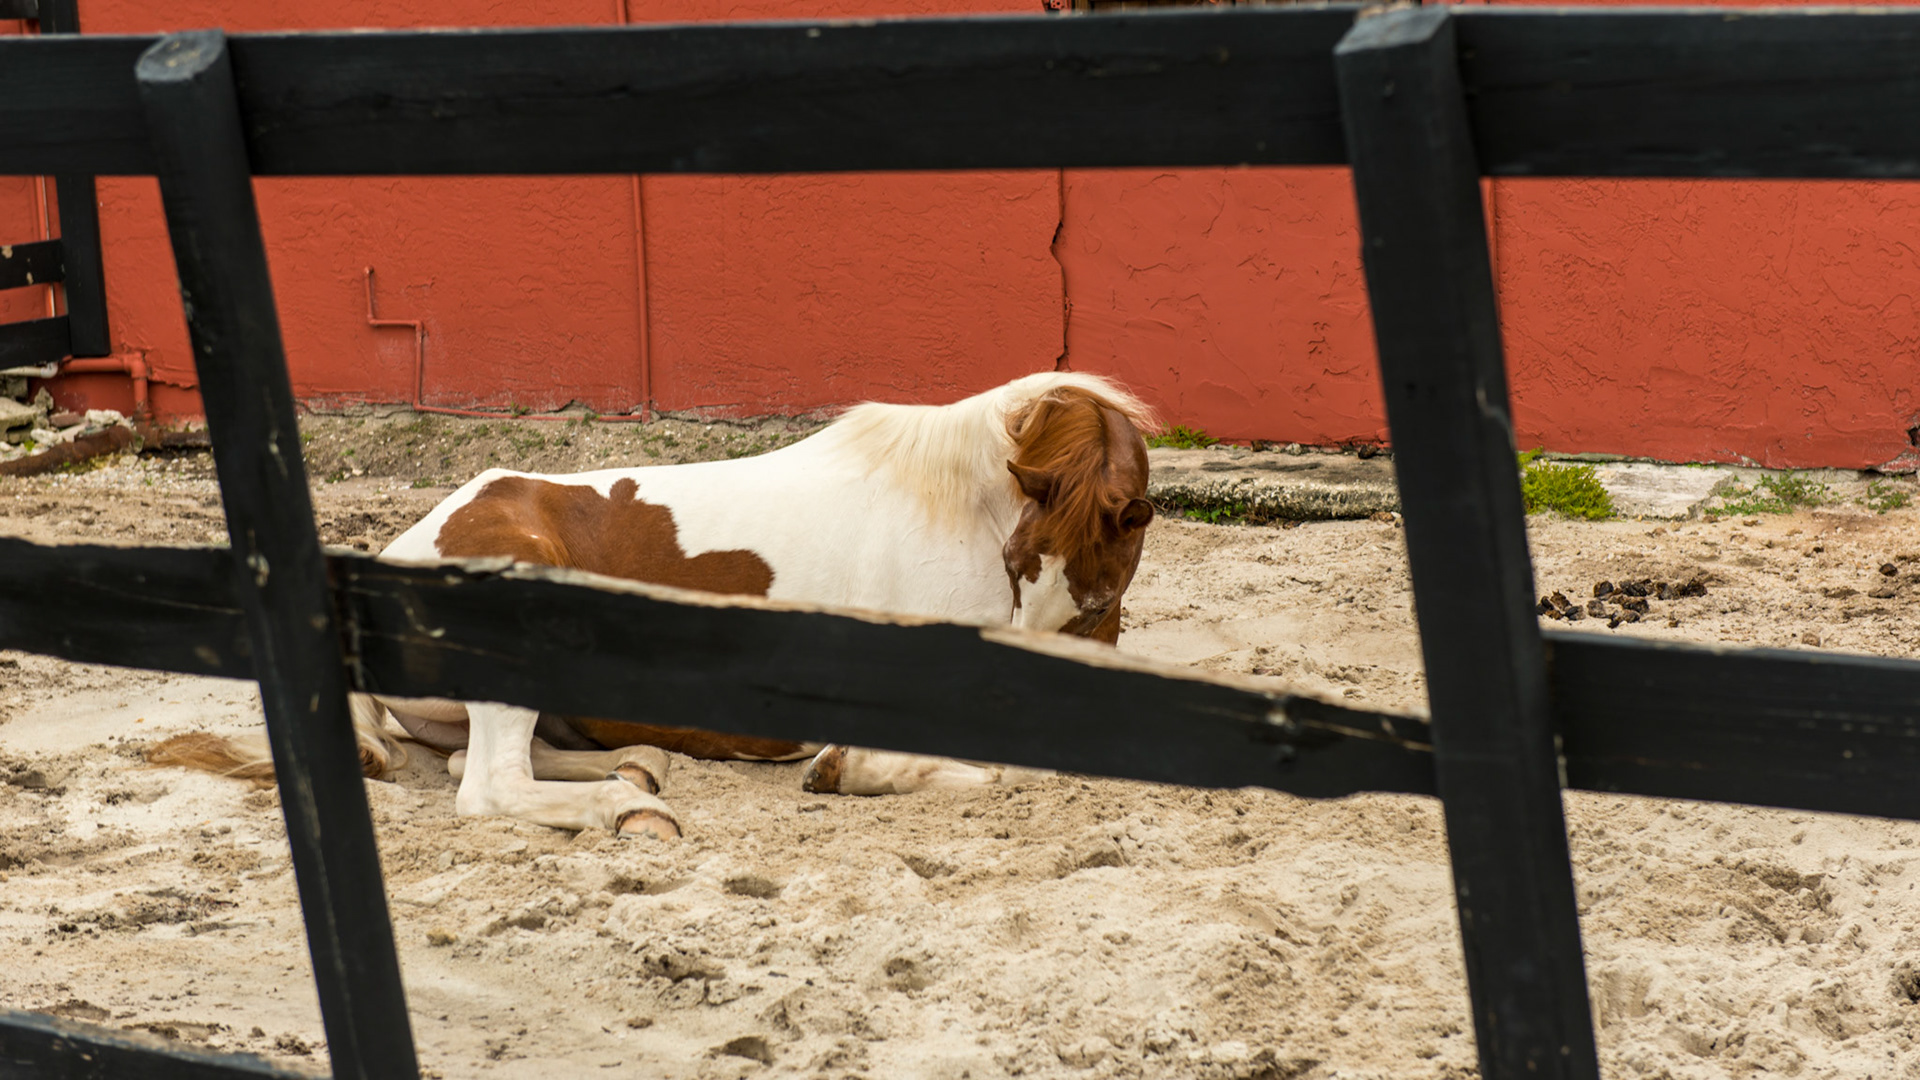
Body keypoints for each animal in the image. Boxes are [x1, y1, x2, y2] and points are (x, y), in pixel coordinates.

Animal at [153, 371, 1158, 839]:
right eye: (1024, 562)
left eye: (1104, 592)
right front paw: (845, 768)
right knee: (487, 785)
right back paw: (624, 808)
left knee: (481, 762)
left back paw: (634, 771)